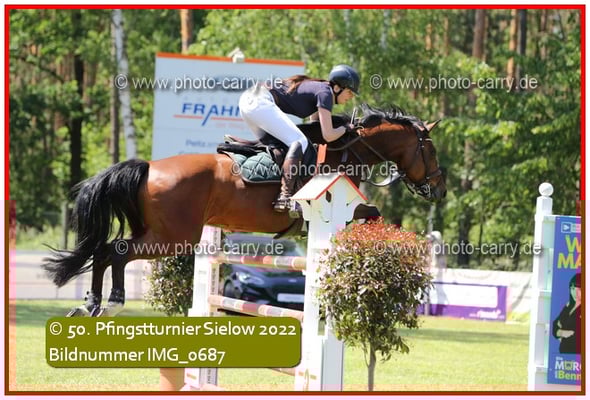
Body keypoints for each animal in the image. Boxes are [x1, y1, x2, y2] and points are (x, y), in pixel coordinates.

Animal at [42, 104, 446, 317]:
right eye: (430, 150)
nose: (439, 189)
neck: (346, 151)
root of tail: (149, 167)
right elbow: (373, 213)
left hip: (159, 232)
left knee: (103, 251)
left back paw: (90, 304)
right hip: (173, 237)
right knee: (117, 252)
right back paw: (111, 303)